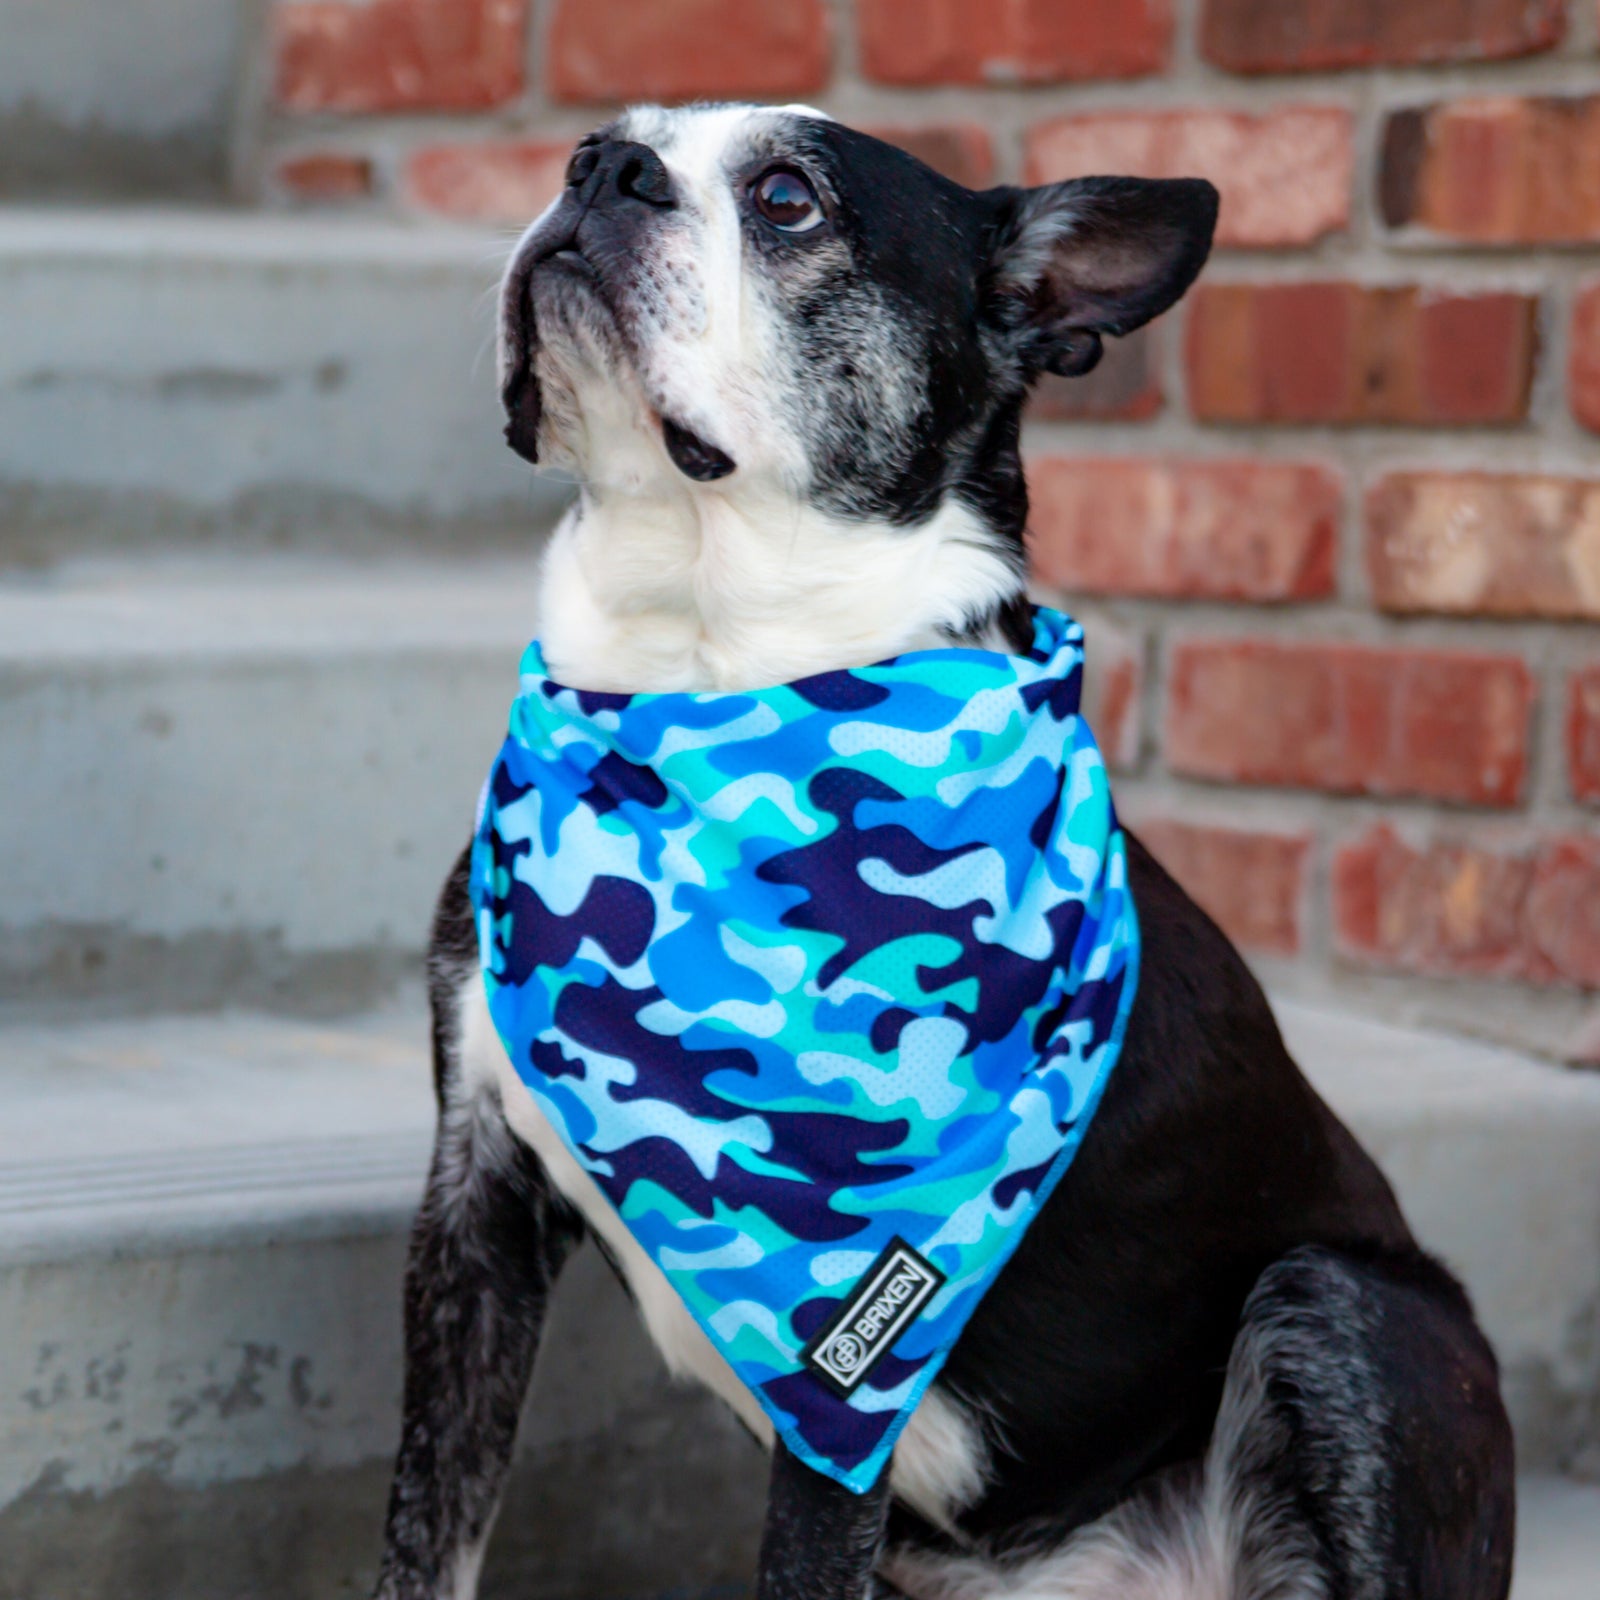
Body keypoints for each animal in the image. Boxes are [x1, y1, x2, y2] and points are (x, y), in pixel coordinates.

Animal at [371, 103, 1510, 1600]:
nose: (598, 175)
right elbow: (424, 1537)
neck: (697, 657)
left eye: (787, 200)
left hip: (1347, 1305)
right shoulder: (475, 1215)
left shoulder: (841, 1352)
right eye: (594, 147)